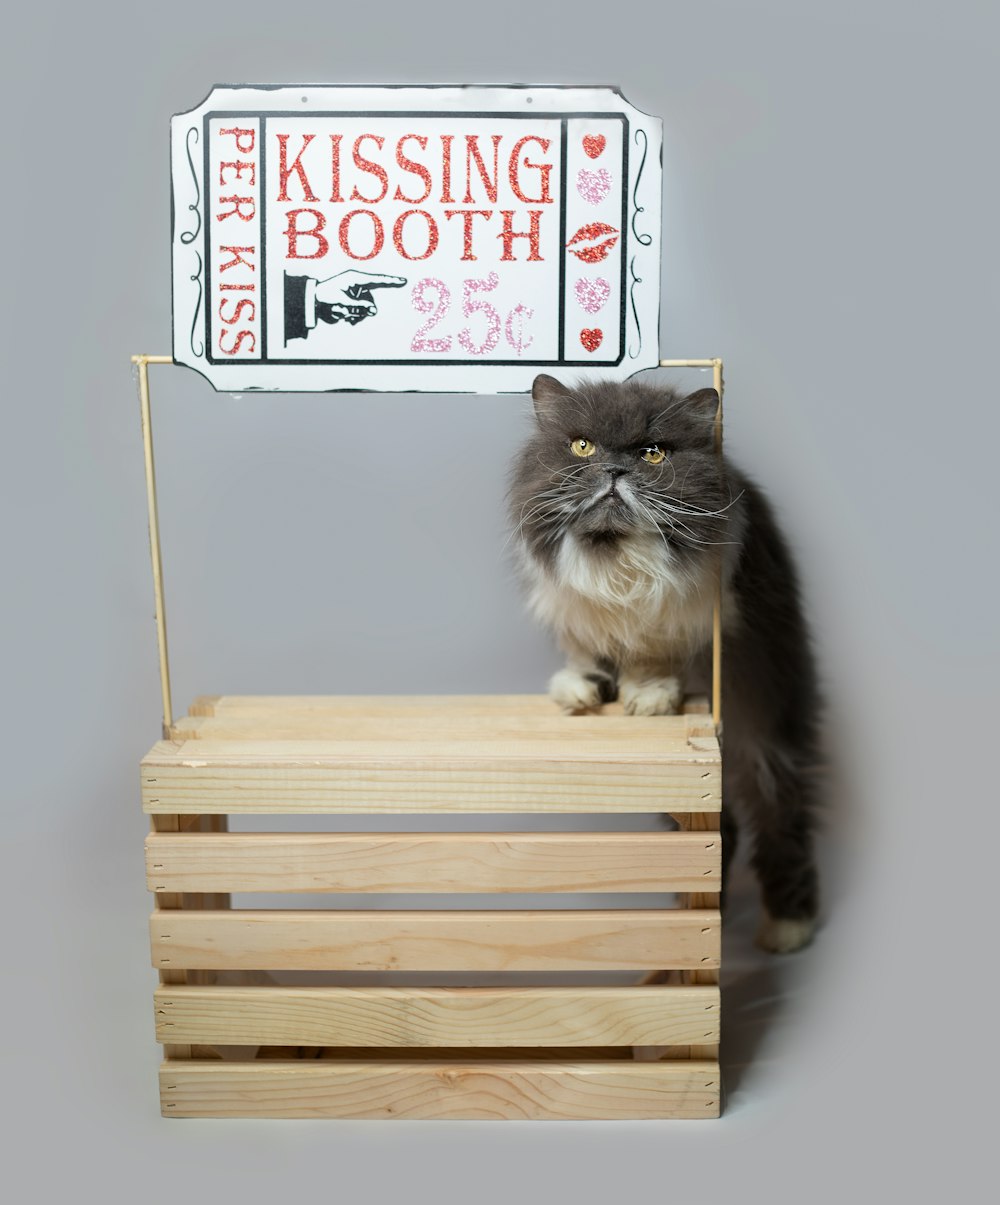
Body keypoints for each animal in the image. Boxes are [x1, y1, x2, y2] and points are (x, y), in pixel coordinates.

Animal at [508, 371, 824, 954]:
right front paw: (579, 693)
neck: (615, 559)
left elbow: (652, 661)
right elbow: (585, 655)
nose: (614, 470)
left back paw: (786, 928)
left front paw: (648, 699)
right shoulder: (581, 618)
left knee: (779, 811)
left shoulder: (675, 628)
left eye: (652, 453)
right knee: (723, 830)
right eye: (582, 446)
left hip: (762, 716)